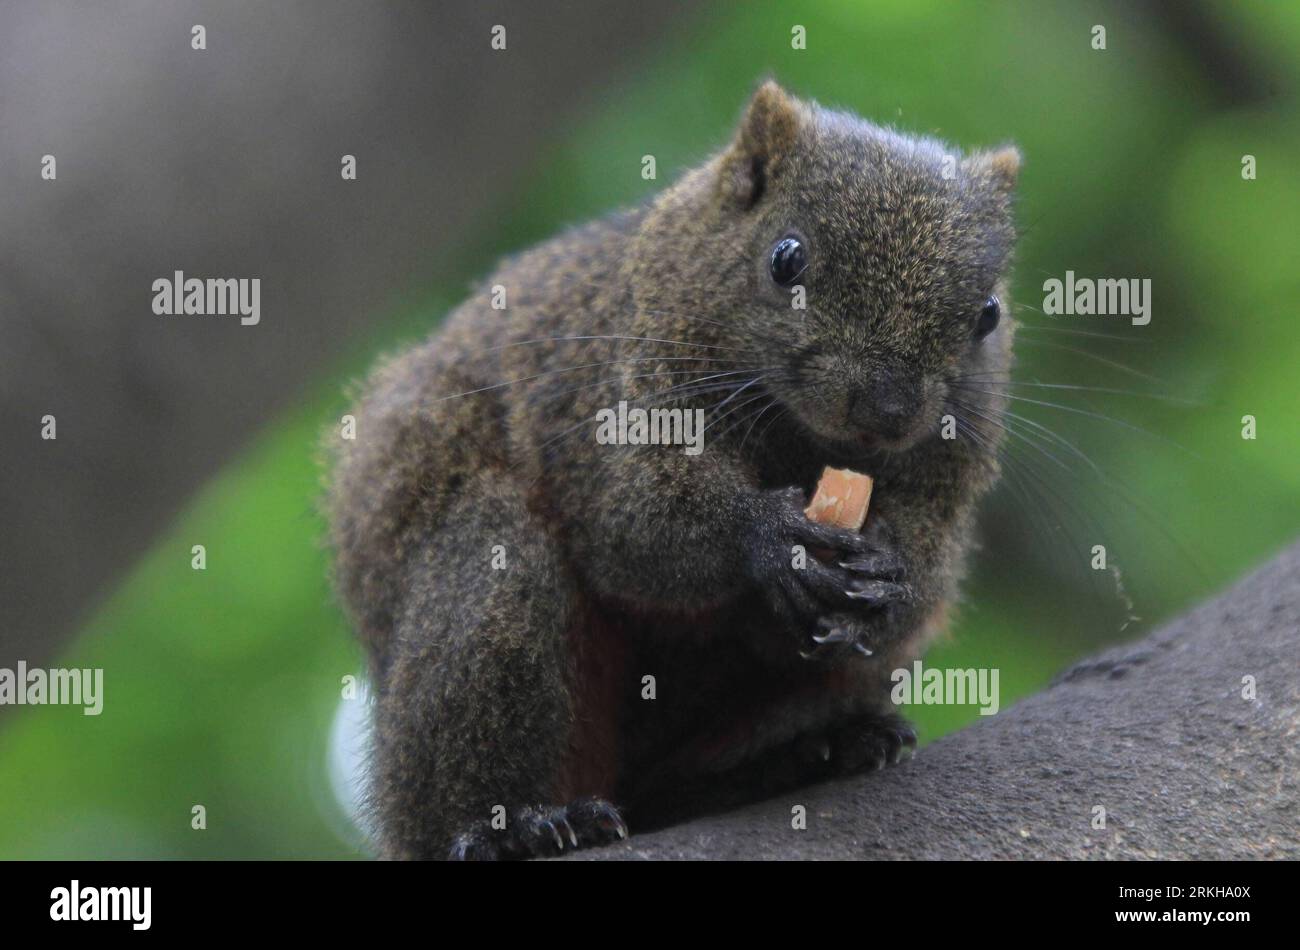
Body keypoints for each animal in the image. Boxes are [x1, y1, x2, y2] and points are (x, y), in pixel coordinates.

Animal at [330, 81, 1019, 862]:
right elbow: (634, 526)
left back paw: (808, 755)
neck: (799, 437)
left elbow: (927, 567)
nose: (888, 407)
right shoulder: (608, 395)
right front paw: (768, 536)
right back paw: (508, 825)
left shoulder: (946, 474)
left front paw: (890, 583)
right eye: (786, 259)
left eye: (989, 314)